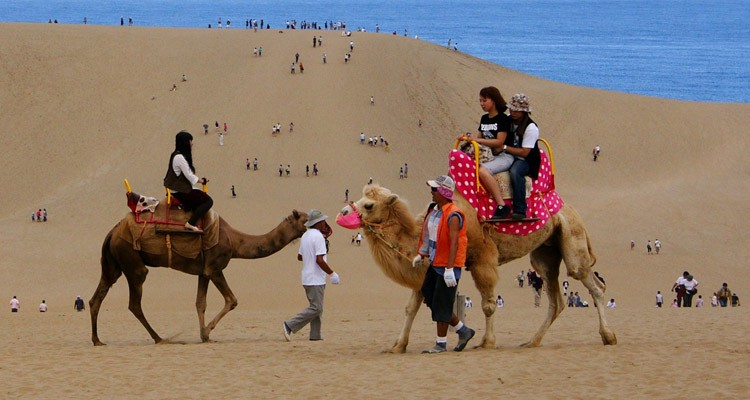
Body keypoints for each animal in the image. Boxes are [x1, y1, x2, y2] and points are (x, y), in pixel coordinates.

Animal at [90, 209, 308, 344]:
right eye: (305, 219)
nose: (320, 227)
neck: (235, 241)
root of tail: (112, 232)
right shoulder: (215, 268)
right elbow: (232, 300)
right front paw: (207, 332)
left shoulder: (203, 271)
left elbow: (200, 303)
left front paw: (204, 336)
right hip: (132, 260)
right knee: (134, 302)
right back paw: (159, 338)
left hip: (113, 264)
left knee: (97, 297)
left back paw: (97, 340)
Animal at [340, 184, 616, 354]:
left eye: (369, 205)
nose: (342, 212)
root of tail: (570, 208)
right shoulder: (426, 269)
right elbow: (412, 308)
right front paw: (397, 346)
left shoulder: (484, 259)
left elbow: (488, 304)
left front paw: (487, 342)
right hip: (545, 253)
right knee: (555, 297)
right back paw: (532, 341)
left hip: (572, 238)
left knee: (592, 283)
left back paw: (608, 336)